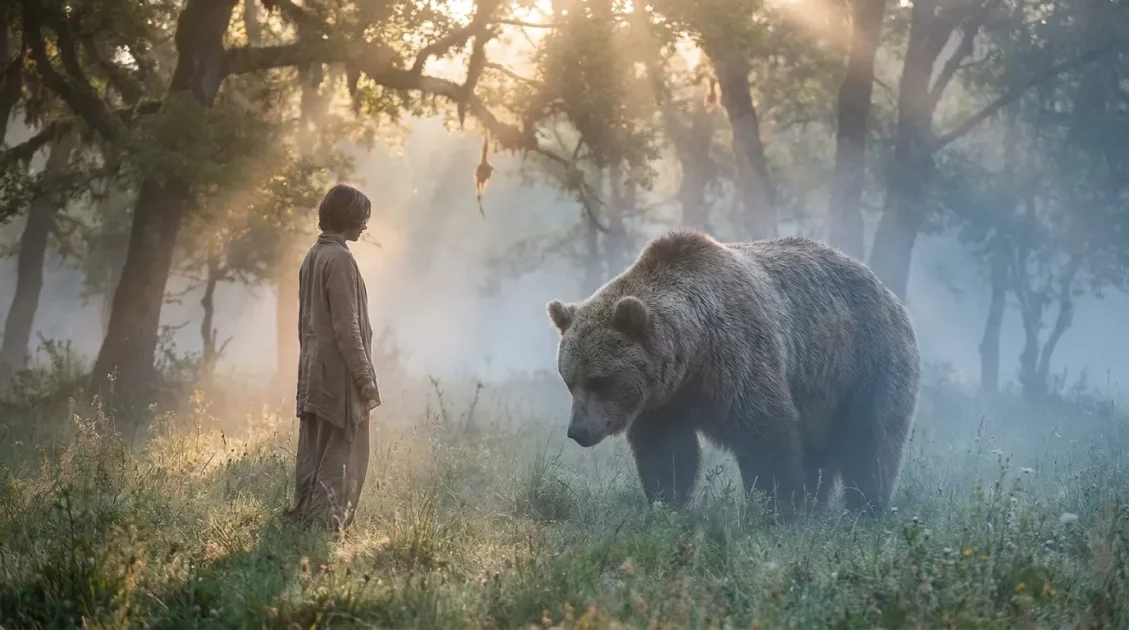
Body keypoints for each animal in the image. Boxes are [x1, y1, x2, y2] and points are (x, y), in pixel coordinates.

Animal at [545, 230, 920, 518]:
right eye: (570, 381)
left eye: (601, 380)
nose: (578, 430)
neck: (691, 354)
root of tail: (887, 290)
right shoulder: (664, 400)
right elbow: (666, 452)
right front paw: (666, 502)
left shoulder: (737, 358)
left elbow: (765, 431)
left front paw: (779, 506)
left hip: (865, 364)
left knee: (871, 442)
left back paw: (865, 509)